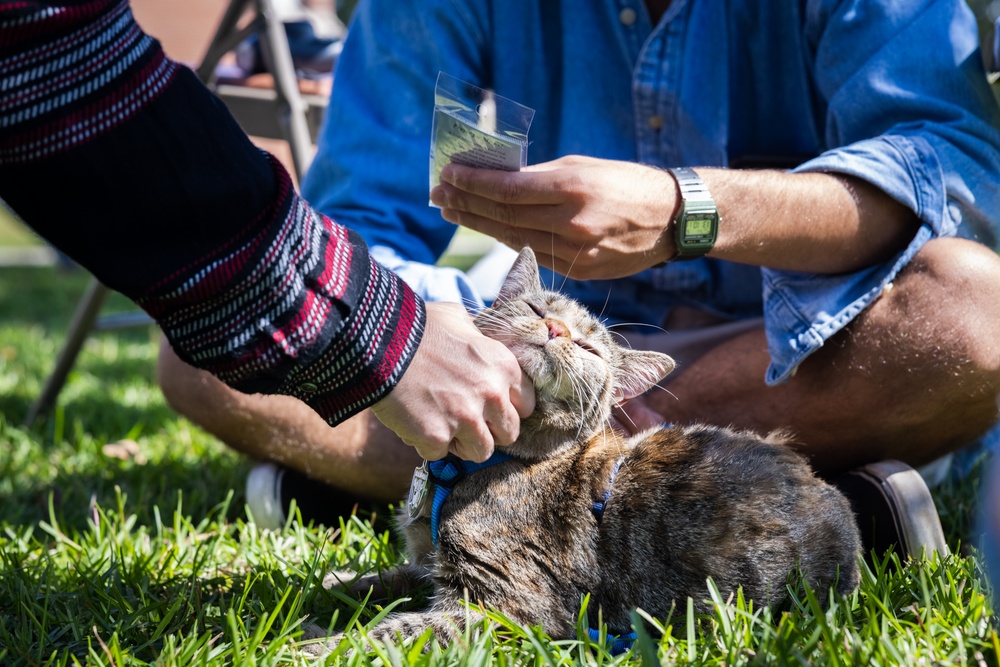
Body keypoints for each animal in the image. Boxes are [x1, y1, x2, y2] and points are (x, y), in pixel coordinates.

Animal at [318, 248, 860, 656]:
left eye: (589, 348)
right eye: (538, 310)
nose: (557, 330)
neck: (464, 466)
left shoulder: (503, 603)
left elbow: (392, 632)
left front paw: (317, 646)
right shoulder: (427, 564)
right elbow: (382, 578)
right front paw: (328, 586)